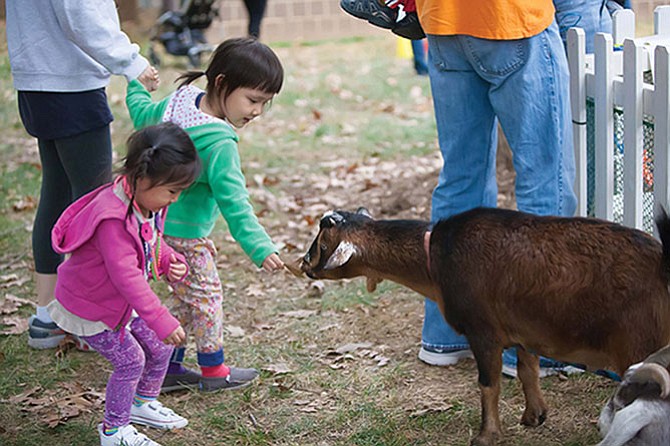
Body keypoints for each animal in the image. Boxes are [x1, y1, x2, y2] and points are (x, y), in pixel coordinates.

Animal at [300, 208, 670, 446]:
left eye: (322, 241)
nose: (304, 264)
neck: (436, 257)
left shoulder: (483, 331)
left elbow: (488, 384)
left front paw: (486, 435)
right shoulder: (523, 329)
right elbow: (527, 370)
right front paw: (534, 416)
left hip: (641, 346)